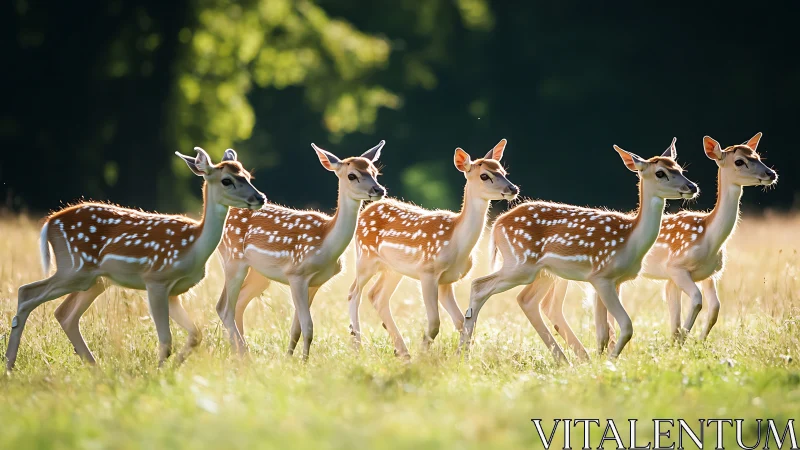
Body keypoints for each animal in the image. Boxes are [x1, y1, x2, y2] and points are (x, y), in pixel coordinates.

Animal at [5, 148, 265, 371]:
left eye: (247, 175)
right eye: (227, 180)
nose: (260, 197)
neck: (193, 247)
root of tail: (49, 222)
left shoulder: (175, 291)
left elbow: (195, 334)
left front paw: (173, 368)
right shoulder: (156, 279)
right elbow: (166, 339)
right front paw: (158, 374)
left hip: (93, 280)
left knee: (64, 314)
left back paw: (95, 368)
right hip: (73, 267)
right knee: (27, 293)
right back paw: (9, 366)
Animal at [216, 141, 386, 360]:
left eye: (375, 172)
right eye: (352, 175)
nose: (379, 189)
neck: (326, 245)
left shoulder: (315, 283)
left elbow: (296, 328)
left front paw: (290, 358)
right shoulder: (296, 274)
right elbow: (308, 327)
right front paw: (303, 361)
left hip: (258, 273)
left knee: (238, 304)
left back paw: (238, 352)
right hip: (232, 259)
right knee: (223, 307)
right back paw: (242, 353)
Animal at [347, 139, 519, 359]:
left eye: (503, 171)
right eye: (484, 175)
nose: (513, 188)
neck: (457, 243)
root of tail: (365, 210)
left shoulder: (448, 280)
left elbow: (461, 321)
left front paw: (464, 357)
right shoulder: (427, 272)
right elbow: (435, 323)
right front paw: (423, 356)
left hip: (393, 269)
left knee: (376, 295)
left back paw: (402, 352)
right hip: (365, 257)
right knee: (353, 293)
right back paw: (358, 346)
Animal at [459, 138, 698, 363]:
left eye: (679, 168)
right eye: (660, 173)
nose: (692, 186)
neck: (631, 239)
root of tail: (497, 223)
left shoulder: (612, 281)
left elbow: (603, 333)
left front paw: (601, 361)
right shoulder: (601, 276)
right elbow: (626, 326)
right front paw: (609, 362)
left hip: (542, 272)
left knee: (526, 300)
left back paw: (564, 360)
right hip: (519, 264)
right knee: (479, 286)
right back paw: (464, 354)